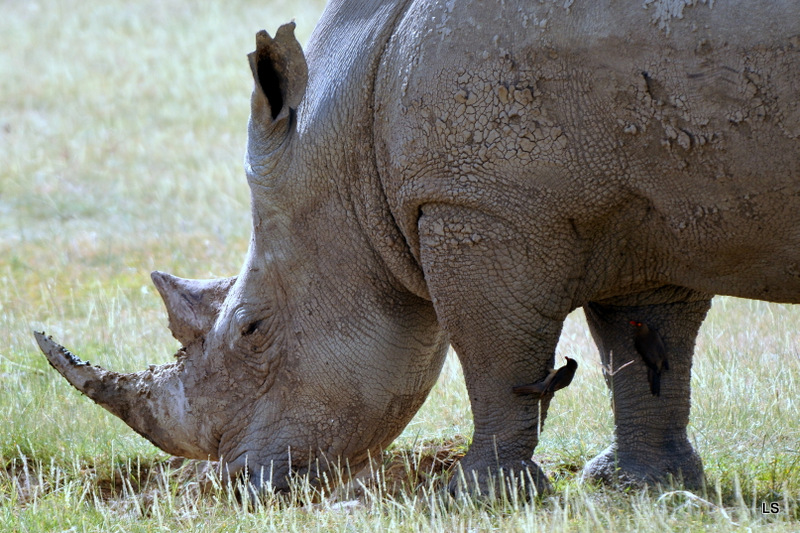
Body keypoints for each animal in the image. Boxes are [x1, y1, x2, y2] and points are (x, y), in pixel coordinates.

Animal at [34, 0, 800, 494]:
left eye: (252, 330)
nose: (233, 483)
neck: (349, 138)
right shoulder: (646, 206)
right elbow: (642, 350)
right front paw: (639, 485)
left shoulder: (480, 203)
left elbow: (497, 353)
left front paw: (480, 493)